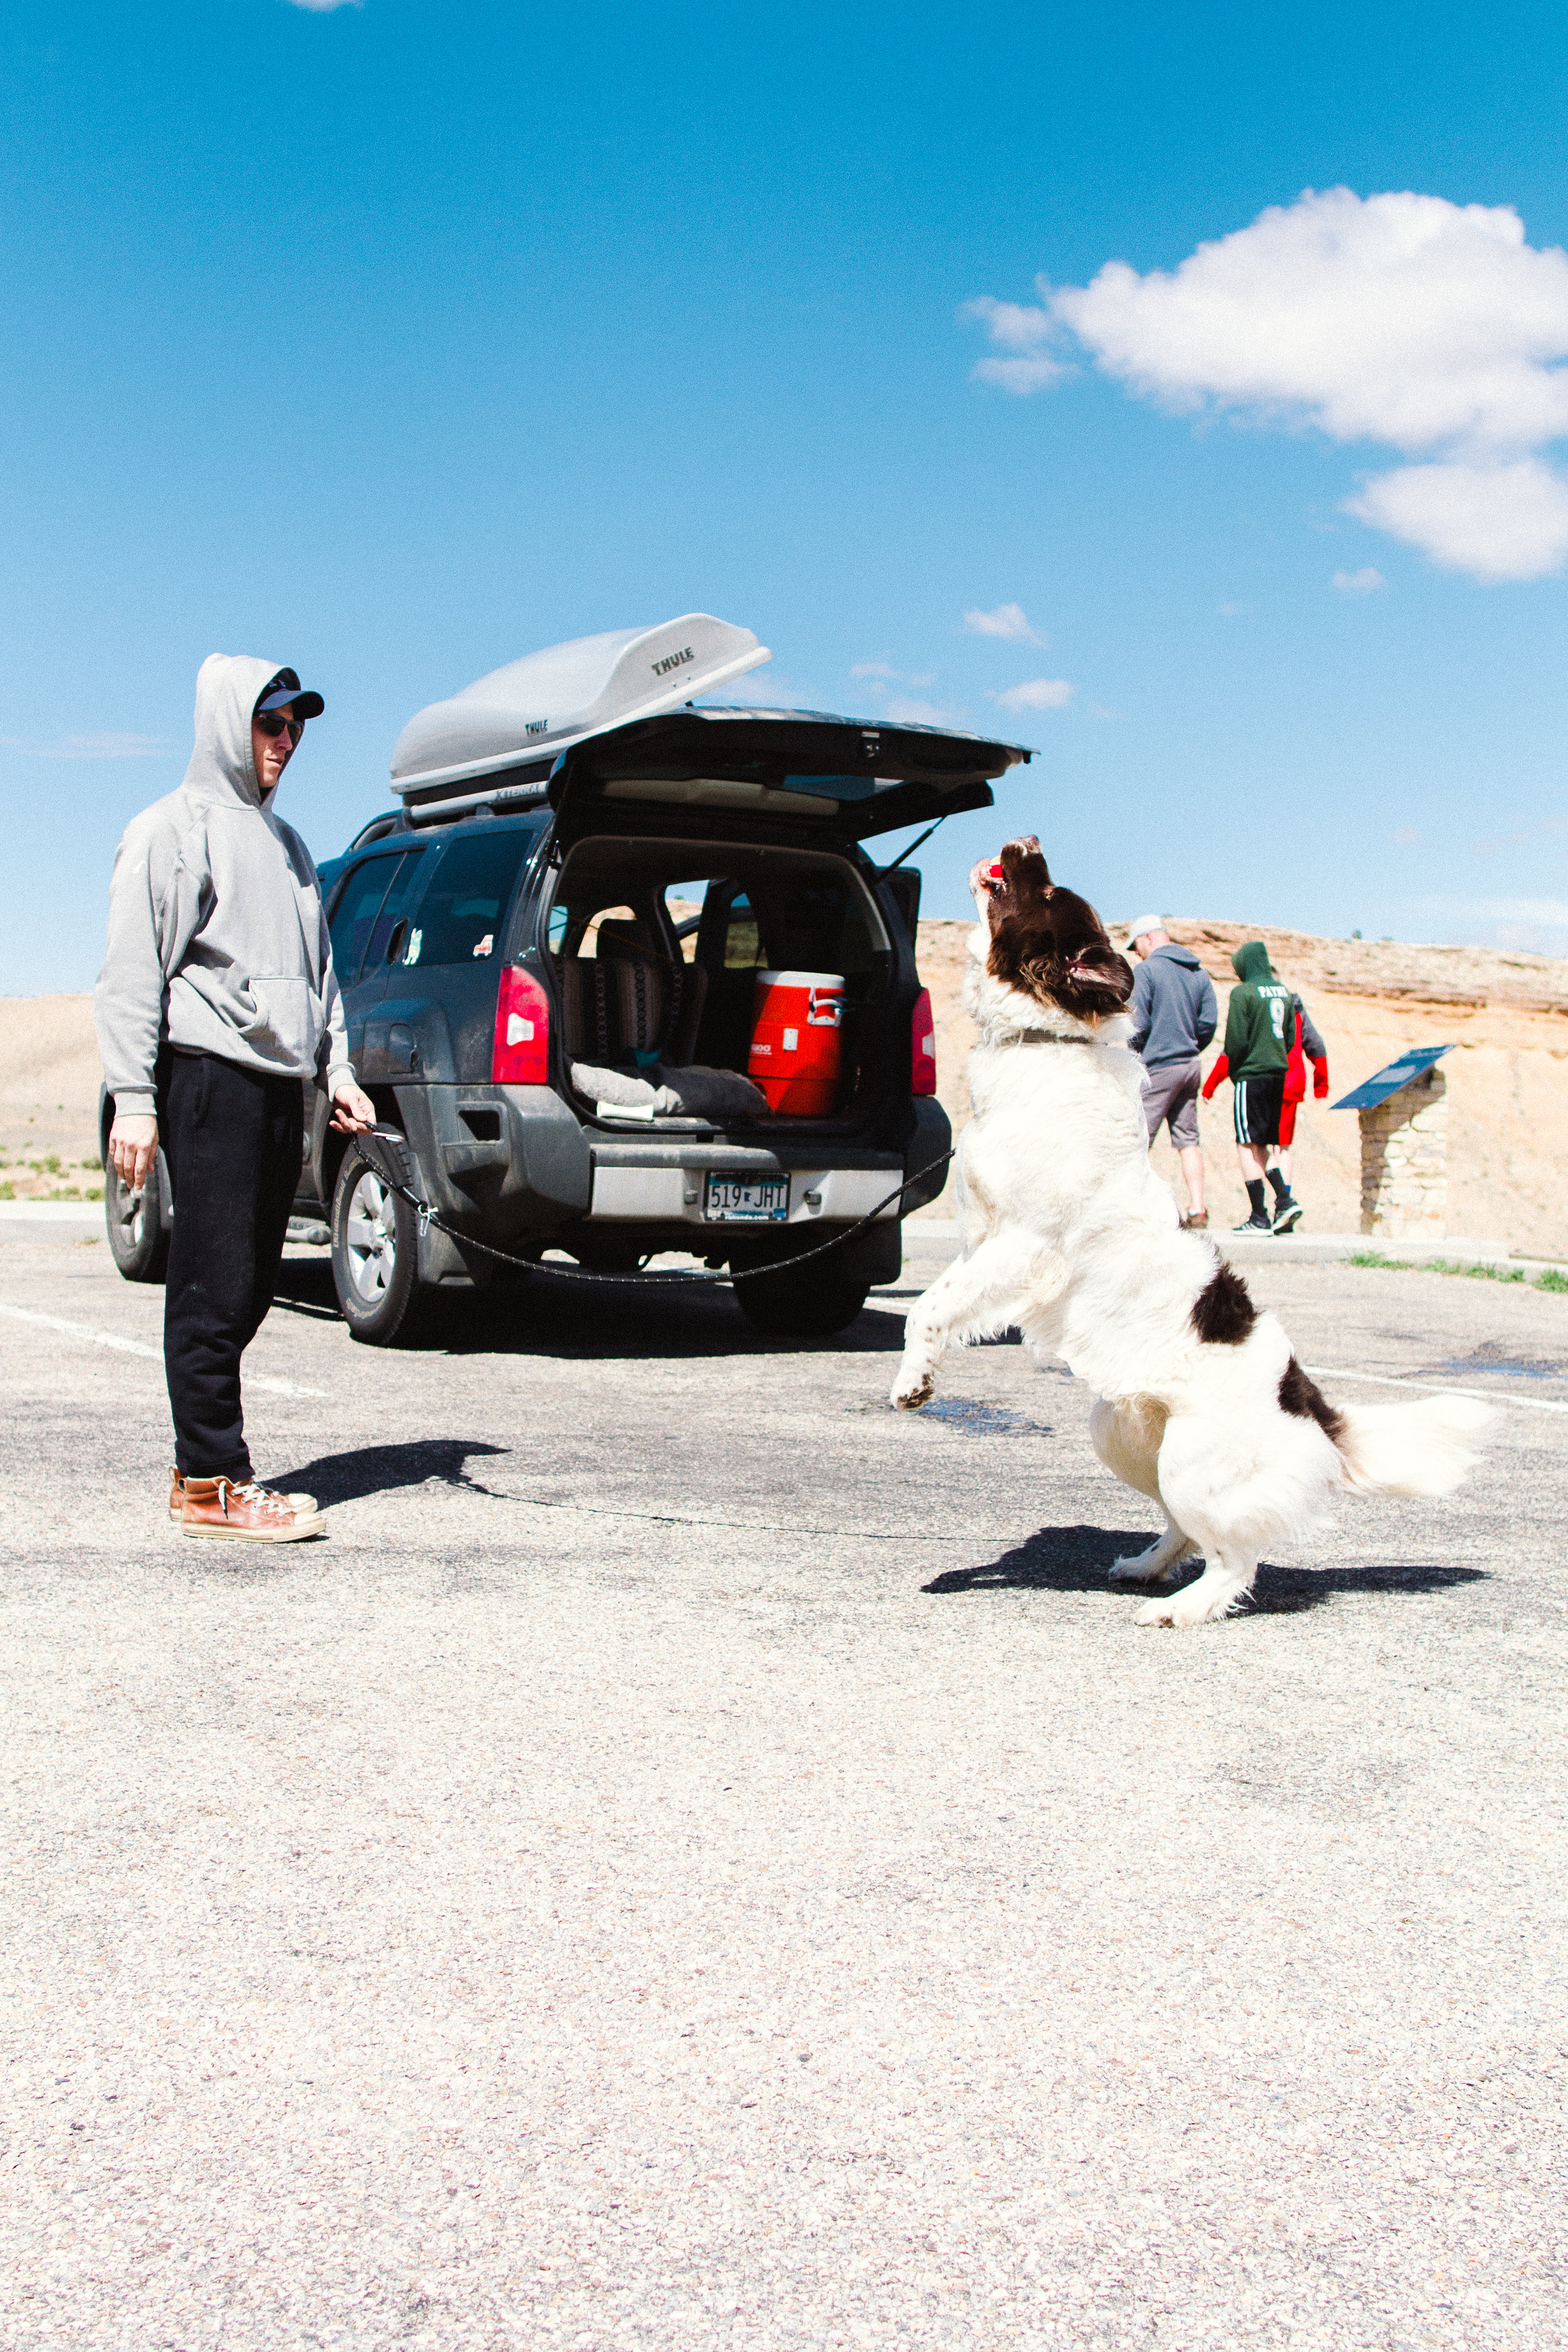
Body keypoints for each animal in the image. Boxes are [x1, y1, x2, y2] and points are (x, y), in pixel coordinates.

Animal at [888, 837, 1495, 1628]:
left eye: (1045, 890)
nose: (1026, 842)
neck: (1044, 1042)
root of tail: (1313, 1408)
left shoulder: (1023, 1245)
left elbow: (930, 1310)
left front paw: (913, 1386)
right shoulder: (983, 1242)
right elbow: (941, 1302)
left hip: (1192, 1459)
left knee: (1236, 1558)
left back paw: (1183, 1608)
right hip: (1121, 1432)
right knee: (1184, 1528)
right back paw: (1147, 1567)